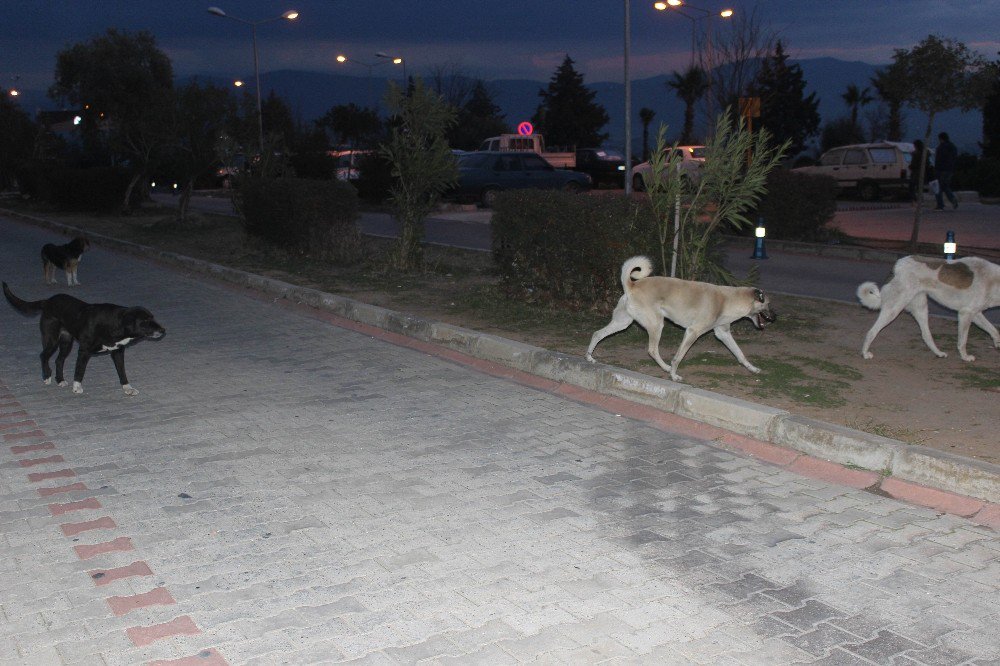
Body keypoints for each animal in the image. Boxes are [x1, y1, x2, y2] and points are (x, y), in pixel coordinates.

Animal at [2, 280, 165, 394]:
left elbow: (122, 372)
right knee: (43, 356)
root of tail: (47, 301)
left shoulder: (118, 352)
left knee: (59, 360)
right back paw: (47, 376)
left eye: (153, 317)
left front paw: (128, 388)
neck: (113, 324)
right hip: (52, 339)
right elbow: (79, 370)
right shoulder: (84, 351)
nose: (163, 330)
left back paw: (60, 380)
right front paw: (76, 387)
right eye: (145, 321)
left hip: (66, 342)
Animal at [584, 254, 776, 378]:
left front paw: (753, 369)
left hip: (623, 322)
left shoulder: (723, 333)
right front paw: (674, 375)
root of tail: (631, 285)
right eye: (768, 304)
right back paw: (666, 368)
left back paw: (589, 357)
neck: (727, 300)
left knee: (597, 334)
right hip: (656, 324)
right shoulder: (692, 332)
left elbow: (740, 354)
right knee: (652, 350)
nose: (775, 317)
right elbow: (678, 357)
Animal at [860, 254, 1000, 360]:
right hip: (893, 310)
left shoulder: (975, 314)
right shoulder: (966, 314)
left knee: (926, 335)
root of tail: (897, 265)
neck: (994, 281)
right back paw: (865, 353)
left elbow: (994, 331)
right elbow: (963, 341)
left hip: (921, 308)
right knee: (871, 332)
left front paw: (998, 344)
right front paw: (965, 357)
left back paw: (938, 353)